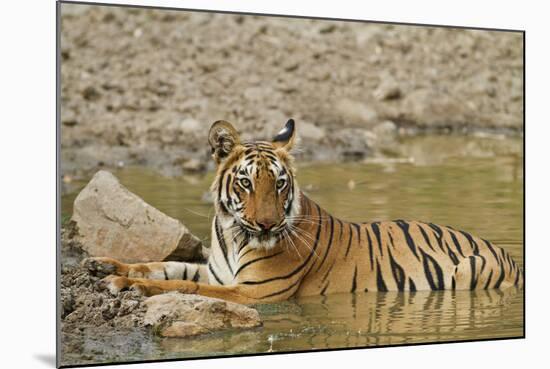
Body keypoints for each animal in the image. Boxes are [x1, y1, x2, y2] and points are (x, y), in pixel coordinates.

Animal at [83, 119, 528, 304]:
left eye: (279, 183)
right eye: (246, 183)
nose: (266, 223)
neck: (232, 232)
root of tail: (508, 255)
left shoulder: (253, 291)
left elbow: (181, 285)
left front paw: (125, 285)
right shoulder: (217, 271)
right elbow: (162, 266)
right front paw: (102, 266)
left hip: (470, 270)